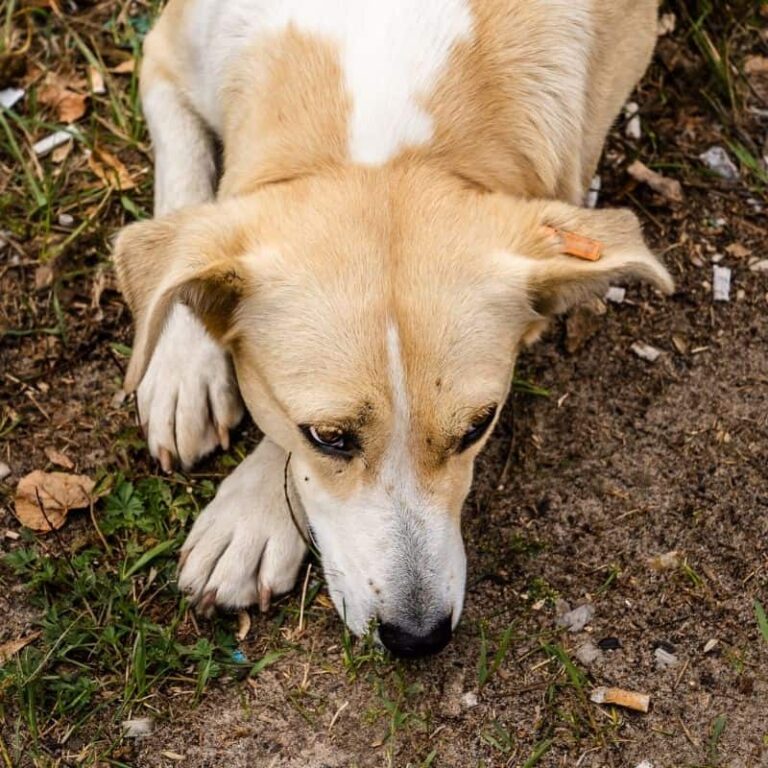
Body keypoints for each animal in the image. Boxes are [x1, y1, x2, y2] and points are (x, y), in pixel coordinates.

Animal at [114, 1, 672, 660]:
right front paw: (181, 374)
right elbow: (184, 204)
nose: (418, 639)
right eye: (329, 436)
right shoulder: (166, 56)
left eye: (478, 427)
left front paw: (250, 519)